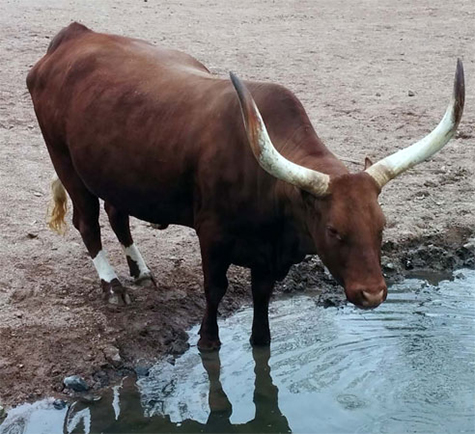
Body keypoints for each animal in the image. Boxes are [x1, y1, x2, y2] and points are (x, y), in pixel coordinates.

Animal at [27, 22, 464, 350]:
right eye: (334, 230)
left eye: (381, 226)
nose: (373, 295)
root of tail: (74, 36)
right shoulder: (212, 236)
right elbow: (214, 289)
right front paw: (208, 340)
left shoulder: (269, 256)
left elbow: (261, 297)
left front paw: (260, 339)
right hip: (65, 160)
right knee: (88, 222)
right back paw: (113, 285)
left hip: (114, 171)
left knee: (117, 212)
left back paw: (141, 270)